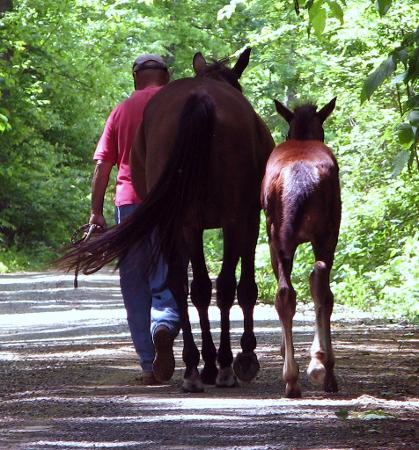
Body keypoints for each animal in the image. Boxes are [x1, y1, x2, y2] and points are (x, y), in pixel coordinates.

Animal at [59, 49, 276, 392]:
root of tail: (201, 99)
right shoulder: (246, 218)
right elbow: (243, 287)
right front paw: (243, 358)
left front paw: (210, 364)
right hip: (222, 218)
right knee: (221, 286)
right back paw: (223, 366)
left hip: (177, 220)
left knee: (183, 285)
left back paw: (192, 367)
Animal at [262, 98, 342, 398]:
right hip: (325, 234)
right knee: (320, 286)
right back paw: (322, 368)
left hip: (280, 238)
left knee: (287, 293)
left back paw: (293, 377)